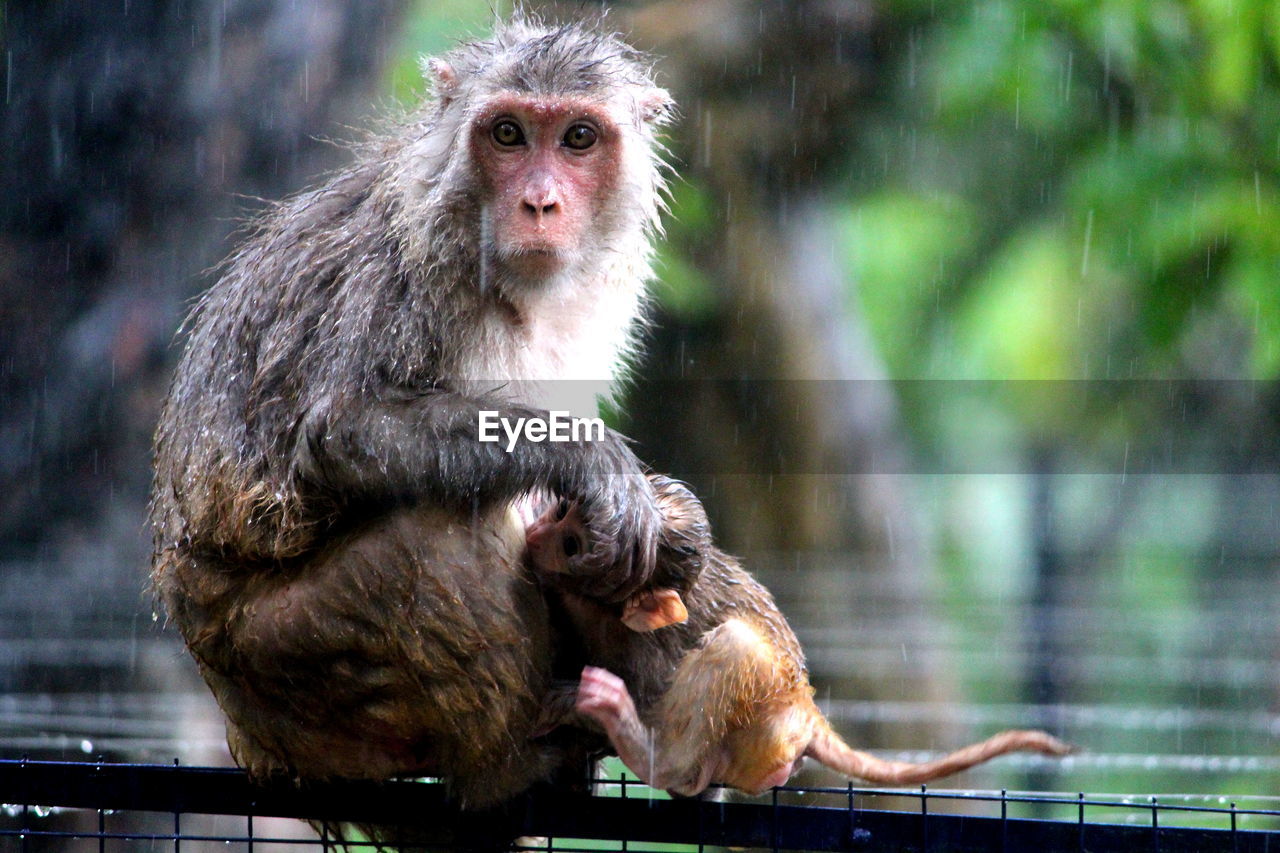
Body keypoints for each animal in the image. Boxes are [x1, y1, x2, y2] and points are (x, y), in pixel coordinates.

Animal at [148, 18, 675, 804]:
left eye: (579, 137)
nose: (541, 202)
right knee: (437, 537)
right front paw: (593, 460)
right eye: (509, 134)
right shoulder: (410, 277)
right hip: (279, 655)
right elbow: (341, 429)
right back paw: (514, 761)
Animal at [524, 473, 1075, 794]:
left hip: (765, 715)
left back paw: (653, 755)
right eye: (562, 513)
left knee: (735, 649)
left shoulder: (644, 646)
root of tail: (806, 712)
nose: (535, 537)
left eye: (571, 546)